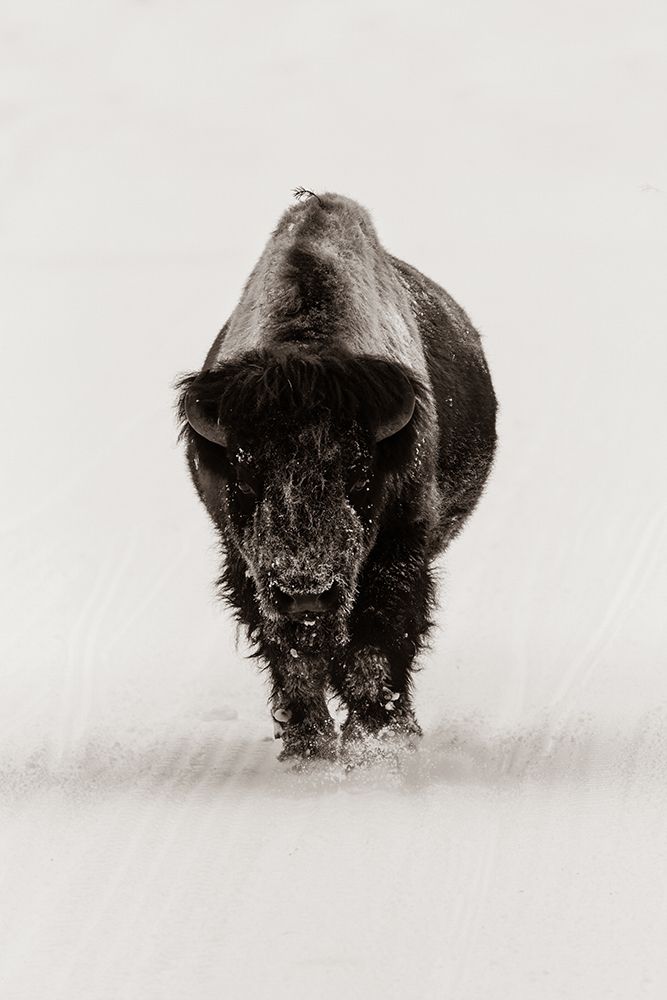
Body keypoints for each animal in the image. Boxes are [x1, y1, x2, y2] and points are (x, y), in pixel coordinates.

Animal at [176, 191, 497, 763]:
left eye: (359, 476)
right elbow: (293, 658)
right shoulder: (248, 568)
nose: (306, 593)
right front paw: (309, 747)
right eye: (245, 478)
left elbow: (375, 647)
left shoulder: (397, 554)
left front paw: (375, 740)